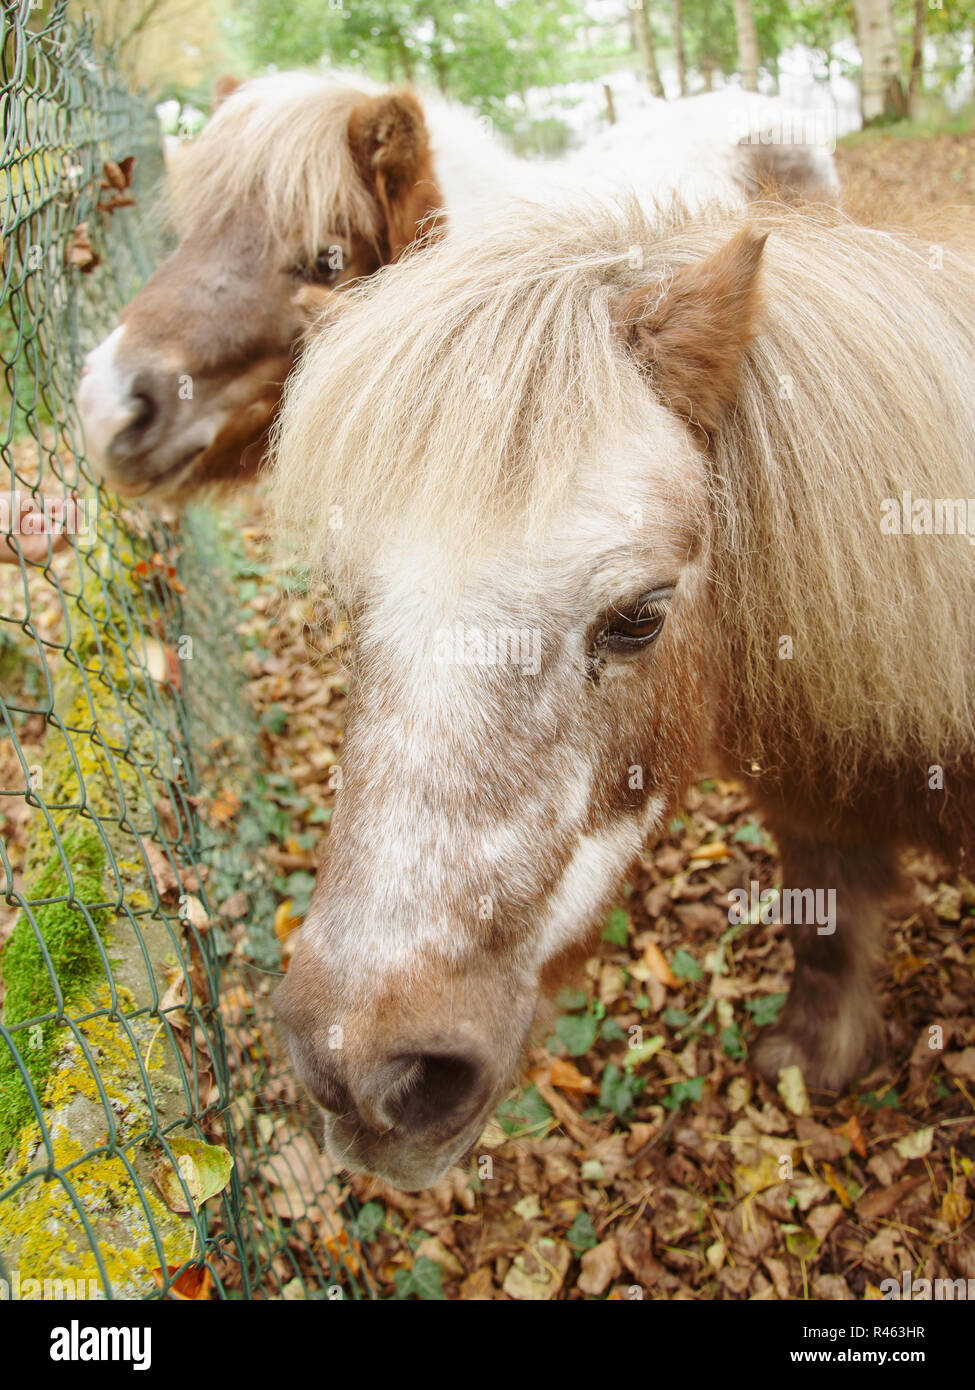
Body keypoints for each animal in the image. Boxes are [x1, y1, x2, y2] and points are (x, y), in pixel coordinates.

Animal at [268, 195, 973, 1189]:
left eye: (640, 616)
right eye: (344, 599)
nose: (363, 1070)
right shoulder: (812, 810)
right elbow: (826, 927)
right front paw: (816, 1056)